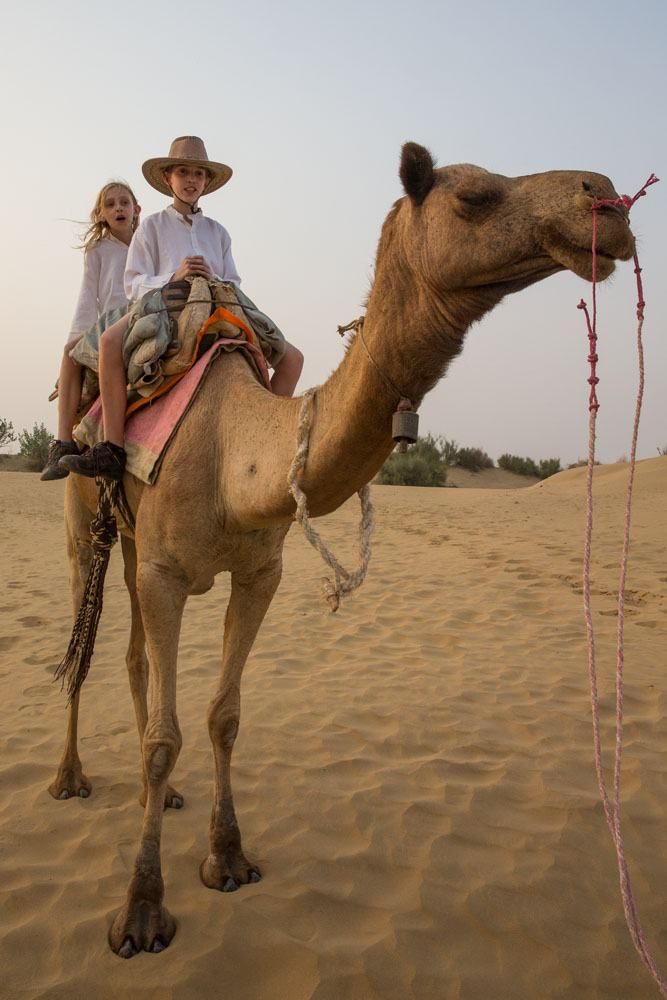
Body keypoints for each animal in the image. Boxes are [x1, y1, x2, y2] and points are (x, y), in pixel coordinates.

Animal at [48, 145, 636, 956]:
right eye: (474, 196)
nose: (606, 202)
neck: (235, 457)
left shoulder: (259, 573)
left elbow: (222, 715)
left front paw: (228, 859)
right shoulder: (168, 572)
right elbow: (166, 735)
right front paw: (139, 913)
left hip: (134, 545)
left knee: (136, 658)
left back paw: (157, 798)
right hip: (87, 524)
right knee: (81, 647)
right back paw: (69, 779)